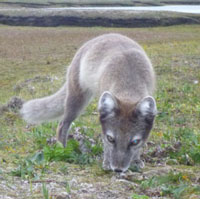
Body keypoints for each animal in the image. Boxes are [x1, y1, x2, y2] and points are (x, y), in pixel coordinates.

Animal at [21, 33, 157, 172]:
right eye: (110, 139)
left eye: (135, 142)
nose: (118, 169)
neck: (128, 83)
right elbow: (106, 146)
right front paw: (107, 162)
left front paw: (136, 160)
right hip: (77, 100)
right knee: (62, 124)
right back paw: (62, 148)